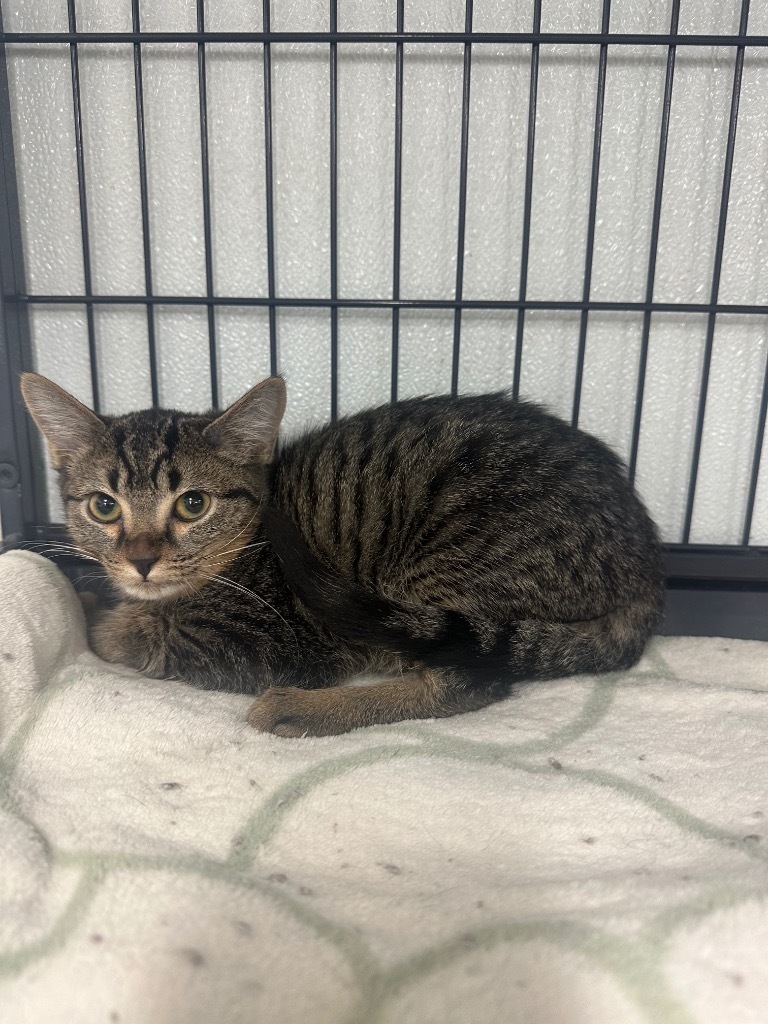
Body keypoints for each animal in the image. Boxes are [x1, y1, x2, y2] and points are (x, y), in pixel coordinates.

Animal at [20, 374, 663, 737]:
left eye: (193, 504)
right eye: (104, 506)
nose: (141, 559)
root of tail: (645, 569)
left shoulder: (271, 642)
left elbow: (137, 636)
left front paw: (103, 617)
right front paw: (96, 592)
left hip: (440, 577)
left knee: (470, 679)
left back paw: (304, 711)